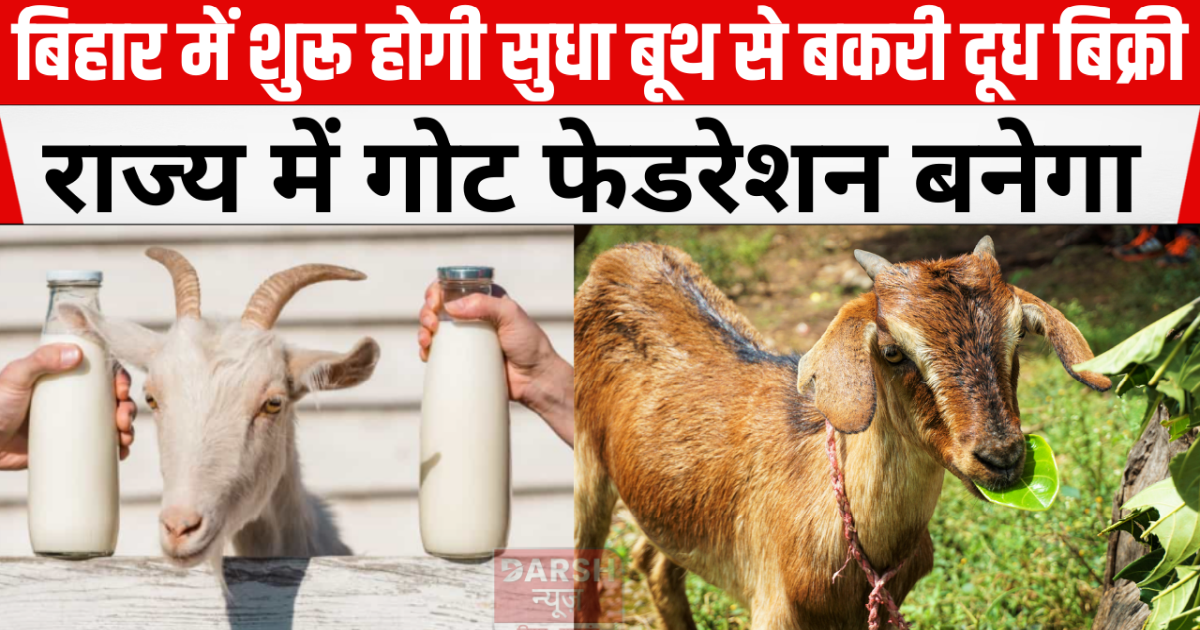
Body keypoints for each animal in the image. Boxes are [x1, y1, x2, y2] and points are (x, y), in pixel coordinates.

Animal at [574, 237, 1110, 629]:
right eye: (892, 351)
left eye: (1017, 337)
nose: (1002, 457)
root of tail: (625, 251)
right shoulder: (772, 610)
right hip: (586, 470)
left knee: (653, 559)